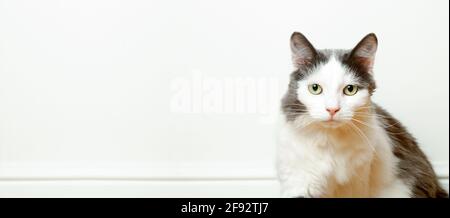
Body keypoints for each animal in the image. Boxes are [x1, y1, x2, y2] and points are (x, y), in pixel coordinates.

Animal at [276, 31, 448, 198]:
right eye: (315, 88)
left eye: (350, 89)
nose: (332, 109)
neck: (330, 141)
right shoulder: (301, 180)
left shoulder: (358, 179)